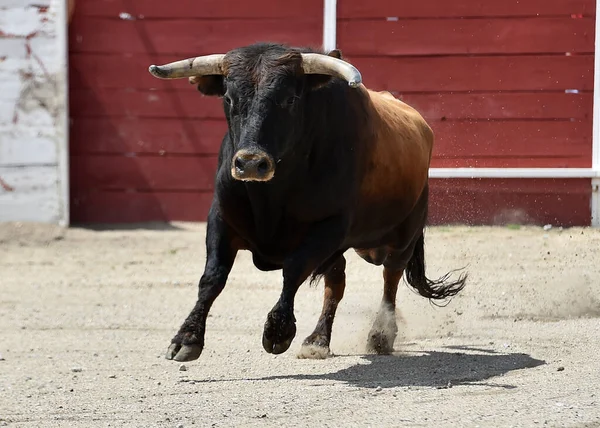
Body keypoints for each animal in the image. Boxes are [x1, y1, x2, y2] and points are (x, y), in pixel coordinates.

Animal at [148, 41, 466, 362]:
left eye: (290, 99)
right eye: (228, 98)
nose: (250, 163)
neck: (271, 194)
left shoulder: (330, 226)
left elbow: (294, 269)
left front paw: (278, 332)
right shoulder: (222, 218)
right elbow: (212, 277)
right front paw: (187, 337)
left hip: (405, 233)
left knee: (391, 277)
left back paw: (380, 336)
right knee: (337, 282)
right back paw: (318, 340)